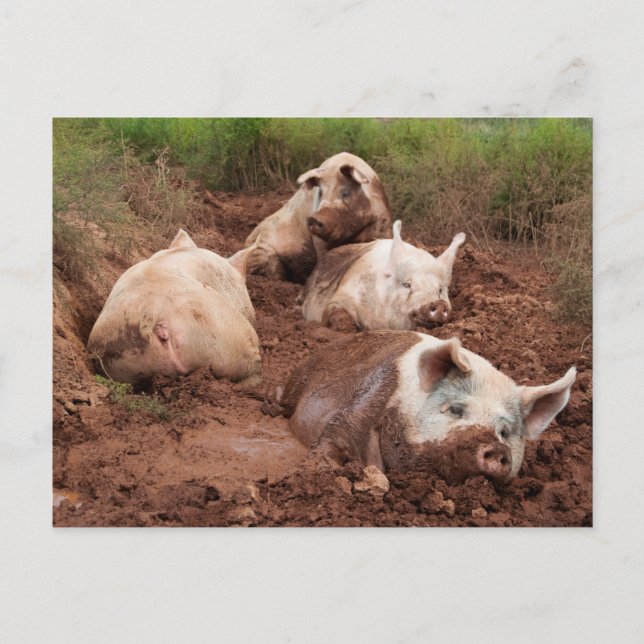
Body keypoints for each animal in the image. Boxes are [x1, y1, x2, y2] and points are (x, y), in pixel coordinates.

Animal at [245, 152, 392, 283]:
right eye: (321, 193)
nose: (314, 219)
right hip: (261, 250)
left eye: (345, 192)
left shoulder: (382, 224)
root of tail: (245, 242)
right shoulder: (318, 241)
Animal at [280, 331, 576, 482]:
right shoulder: (366, 401)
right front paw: (314, 472)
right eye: (456, 409)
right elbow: (335, 439)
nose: (497, 449)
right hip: (297, 381)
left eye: (504, 432)